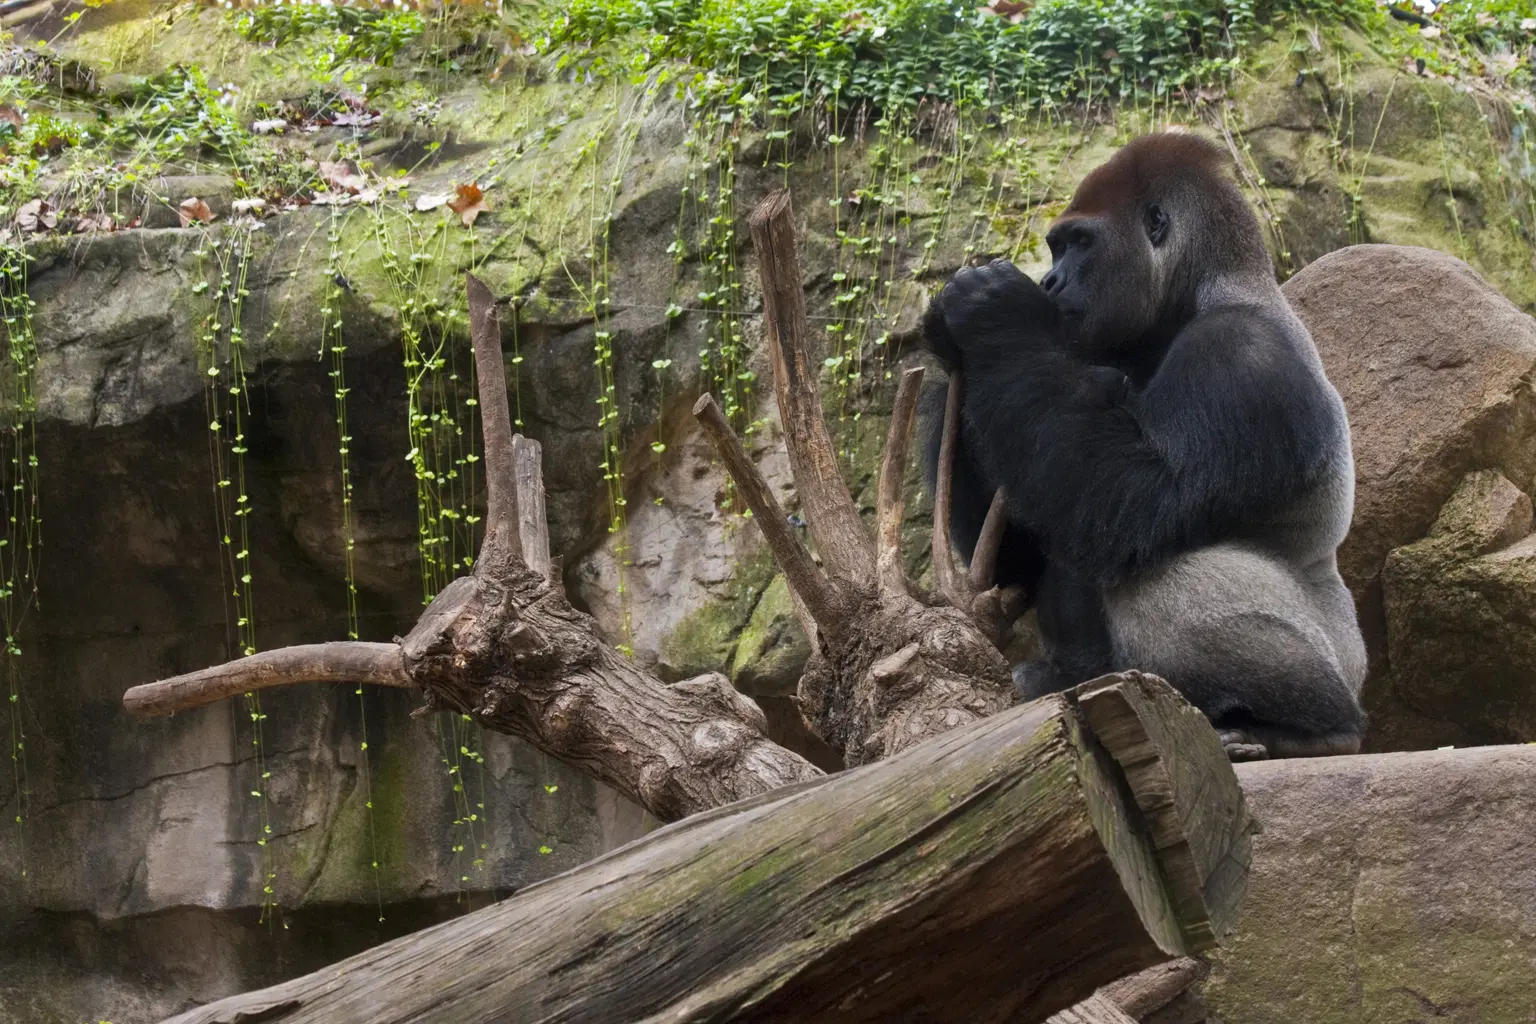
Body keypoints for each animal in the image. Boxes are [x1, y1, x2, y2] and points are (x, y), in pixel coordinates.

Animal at [920, 131, 1367, 761]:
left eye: (1080, 244)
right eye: (1055, 249)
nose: (1050, 283)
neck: (1199, 294)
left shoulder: (1241, 354)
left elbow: (1132, 503)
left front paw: (993, 316)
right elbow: (1025, 556)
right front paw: (950, 374)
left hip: (1342, 663)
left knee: (1159, 577)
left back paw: (1312, 729)